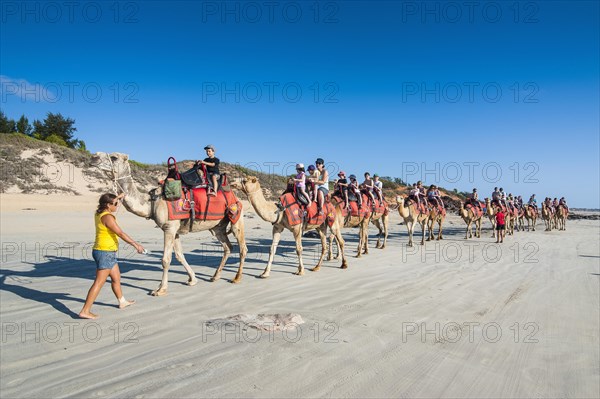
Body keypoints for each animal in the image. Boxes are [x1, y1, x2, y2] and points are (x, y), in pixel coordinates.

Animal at [91, 152, 246, 296]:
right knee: (227, 246)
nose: (94, 157)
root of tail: (233, 194)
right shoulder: (175, 230)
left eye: (114, 157)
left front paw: (160, 290)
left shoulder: (169, 227)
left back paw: (237, 278)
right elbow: (179, 255)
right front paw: (192, 279)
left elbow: (165, 259)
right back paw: (215, 276)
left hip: (236, 216)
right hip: (217, 227)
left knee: (242, 248)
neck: (152, 202)